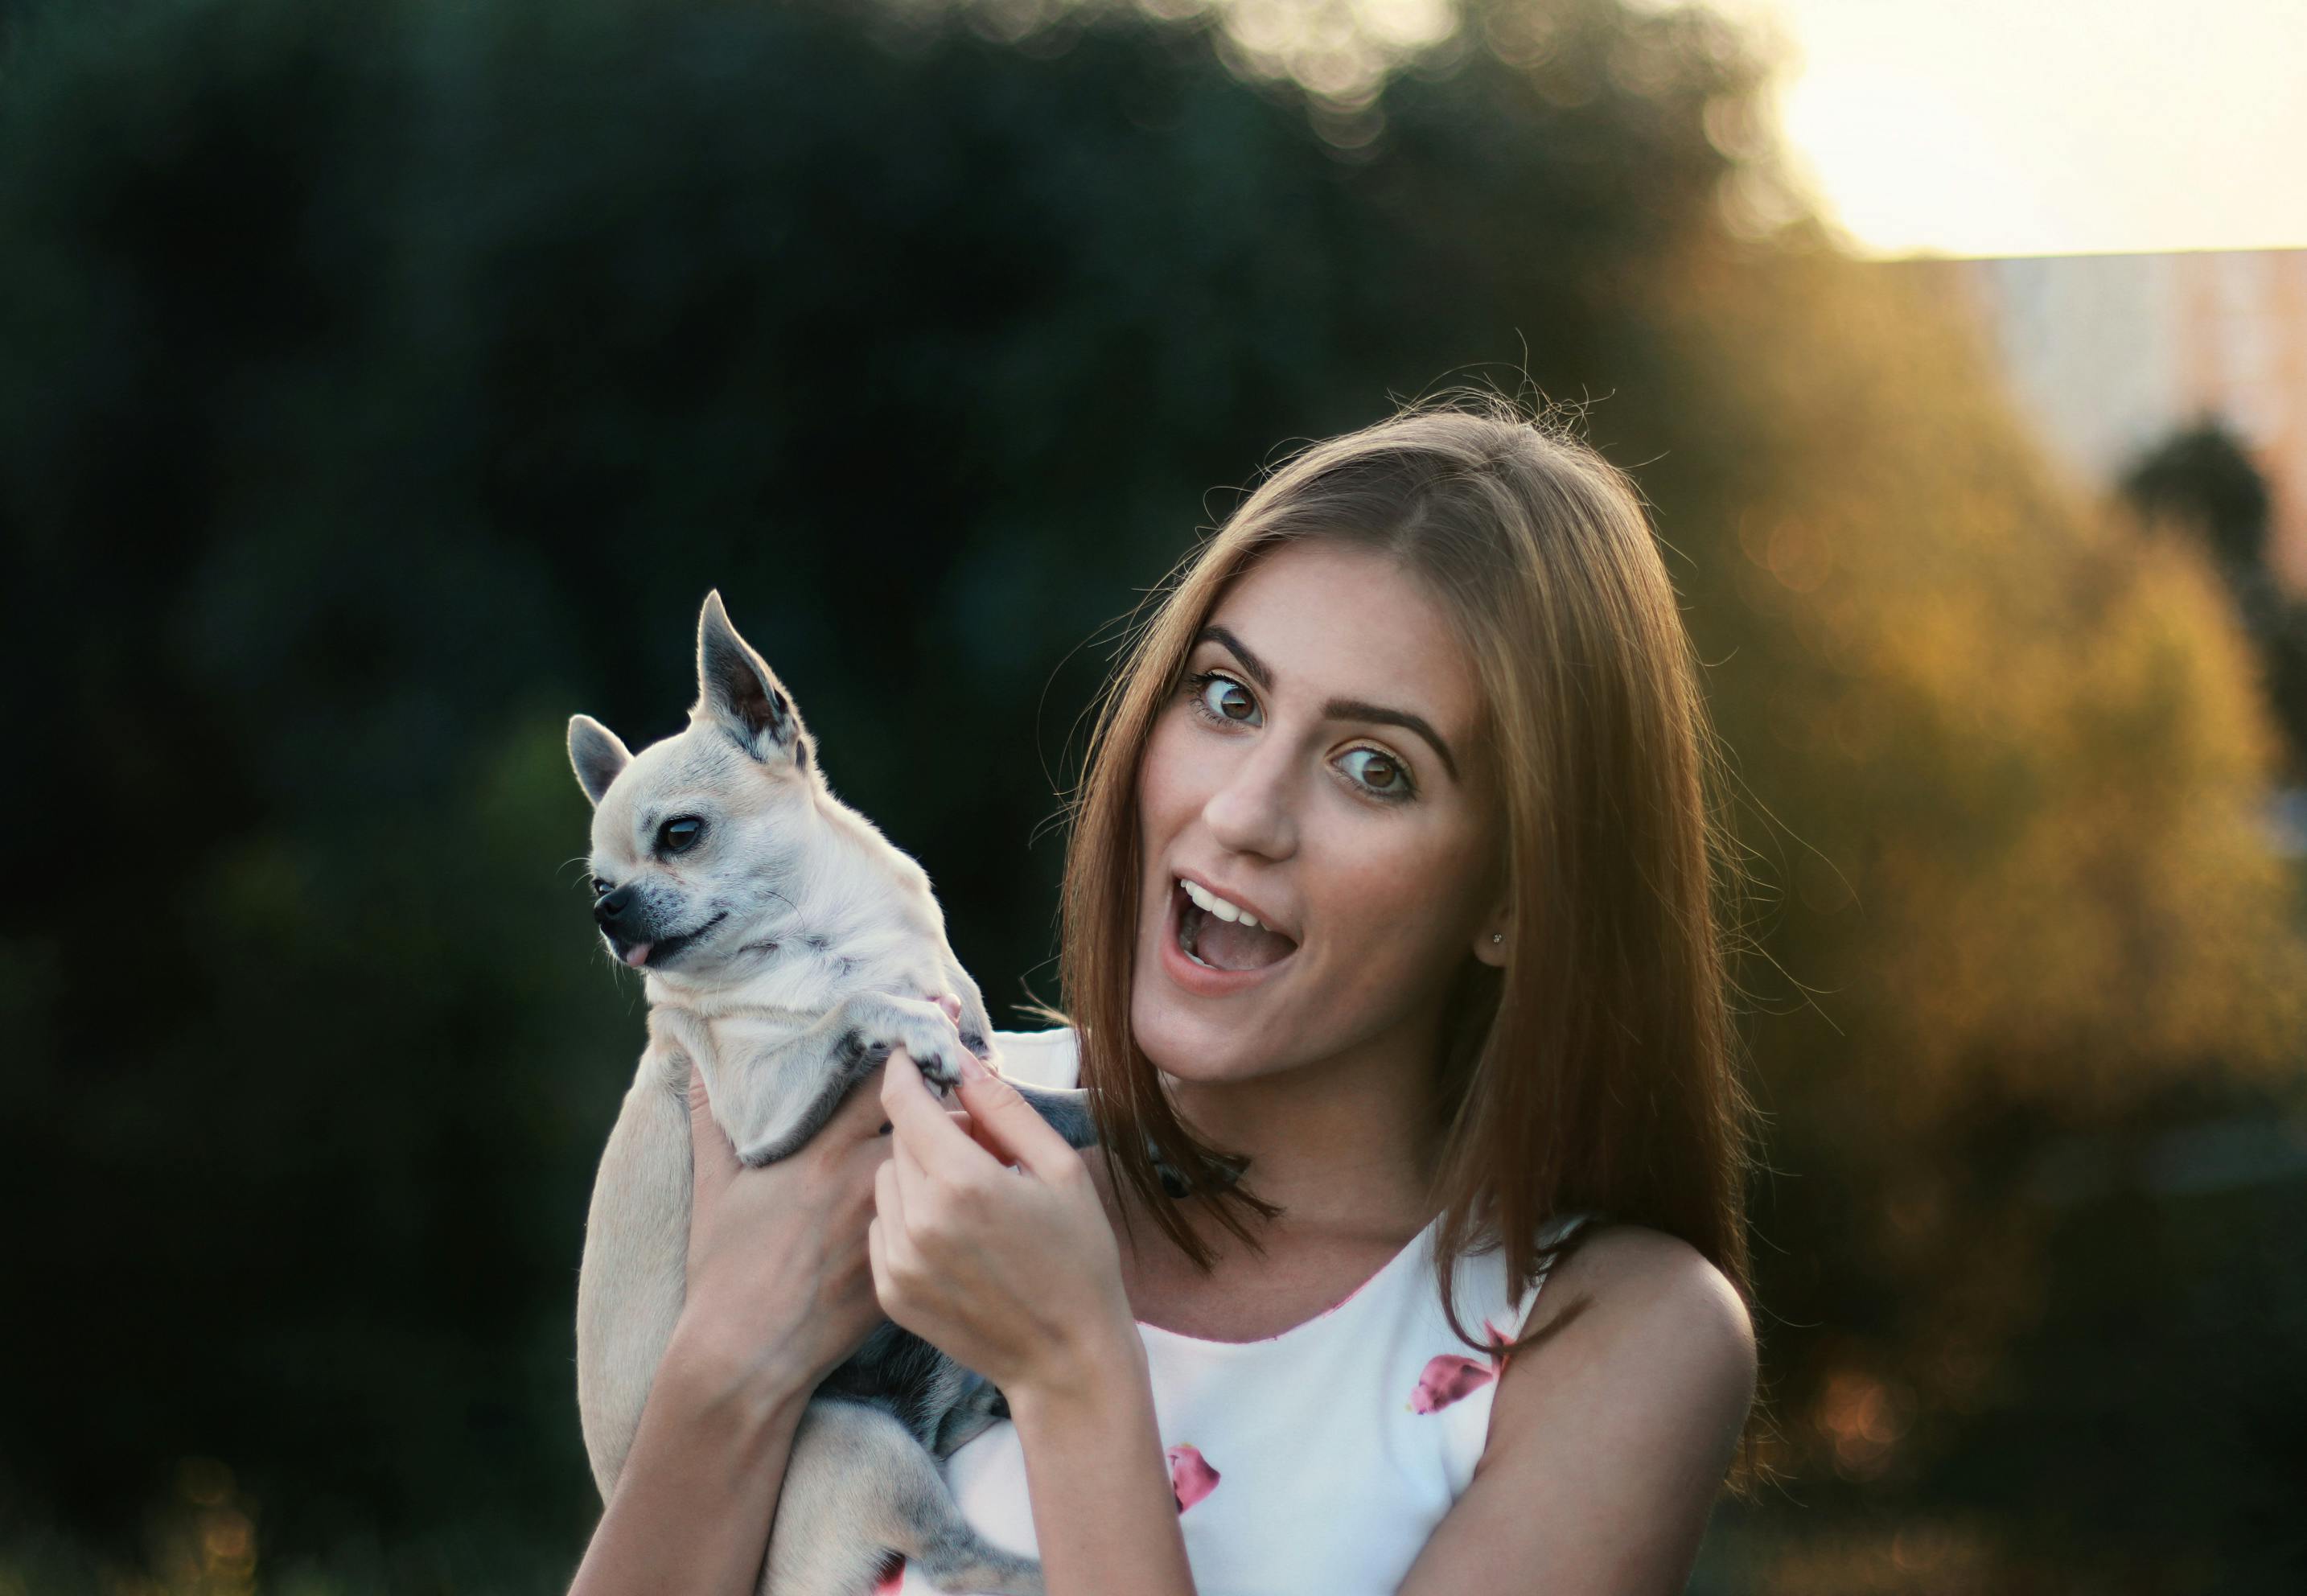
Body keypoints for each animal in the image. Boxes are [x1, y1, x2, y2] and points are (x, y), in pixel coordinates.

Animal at [562, 588, 1093, 1596]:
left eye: (680, 833)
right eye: (600, 882)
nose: (605, 912)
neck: (826, 938)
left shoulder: (975, 1073)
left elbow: (1027, 1092)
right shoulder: (761, 1106)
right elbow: (854, 1009)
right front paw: (907, 1023)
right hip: (856, 1443)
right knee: (961, 1555)